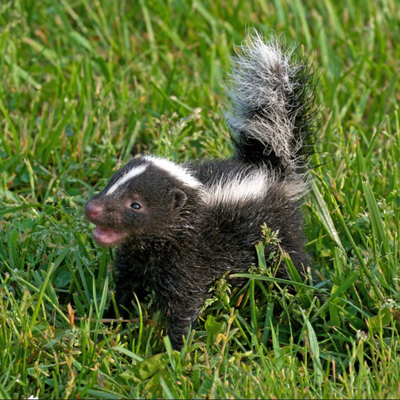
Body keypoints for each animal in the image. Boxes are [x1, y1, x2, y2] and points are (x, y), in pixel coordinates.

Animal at [85, 32, 318, 348]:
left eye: (136, 205)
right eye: (110, 187)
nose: (93, 209)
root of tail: (270, 171)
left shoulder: (188, 258)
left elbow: (184, 302)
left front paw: (175, 348)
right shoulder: (137, 257)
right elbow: (127, 287)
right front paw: (109, 322)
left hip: (278, 229)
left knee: (291, 261)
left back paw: (309, 292)